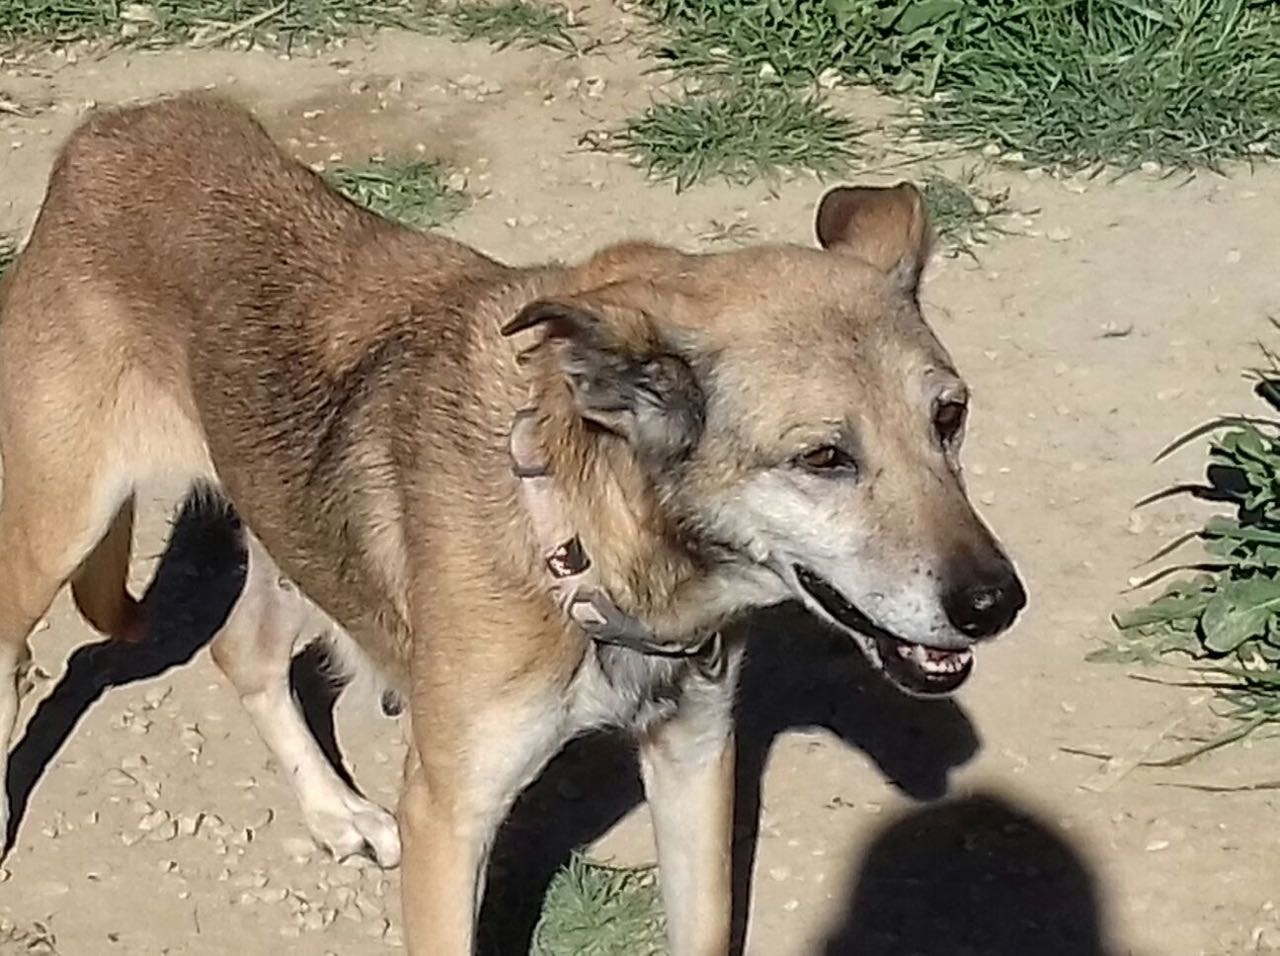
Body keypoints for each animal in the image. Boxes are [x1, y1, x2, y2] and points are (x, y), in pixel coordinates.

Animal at [0, 94, 1025, 954]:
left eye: (950, 417)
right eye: (823, 458)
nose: (995, 604)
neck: (585, 543)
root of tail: (109, 128)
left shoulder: (694, 758)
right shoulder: (451, 816)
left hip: (298, 533)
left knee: (242, 650)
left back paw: (335, 813)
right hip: (55, 535)